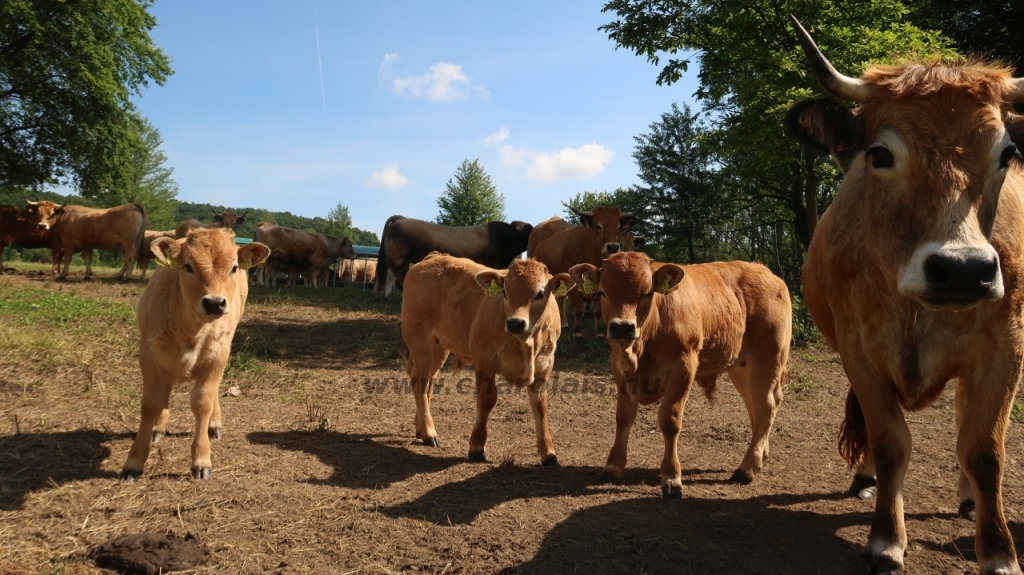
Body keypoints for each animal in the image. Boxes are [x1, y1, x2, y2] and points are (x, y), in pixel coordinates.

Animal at [119, 226, 270, 476]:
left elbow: (203, 401)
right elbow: (151, 404)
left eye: (234, 267)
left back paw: (214, 424)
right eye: (188, 266)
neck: (192, 331)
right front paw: (134, 461)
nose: (214, 303)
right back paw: (158, 427)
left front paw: (201, 459)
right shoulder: (148, 354)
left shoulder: (219, 355)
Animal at [401, 252, 577, 462]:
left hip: (439, 347)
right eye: (505, 292)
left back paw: (421, 427)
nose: (515, 323)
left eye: (541, 293)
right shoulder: (485, 360)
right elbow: (487, 400)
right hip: (420, 342)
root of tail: (434, 257)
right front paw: (477, 447)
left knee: (429, 381)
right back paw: (429, 432)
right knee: (419, 382)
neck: (526, 344)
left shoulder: (545, 364)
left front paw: (549, 453)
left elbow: (540, 406)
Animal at [532, 204, 634, 335]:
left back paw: (563, 323)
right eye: (598, 226)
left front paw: (598, 332)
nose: (613, 247)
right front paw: (577, 331)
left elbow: (598, 310)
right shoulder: (573, 285)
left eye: (619, 227)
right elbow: (578, 309)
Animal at [569, 250, 790, 497]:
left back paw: (747, 467)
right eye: (602, 292)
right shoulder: (619, 367)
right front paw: (612, 466)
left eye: (647, 293)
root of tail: (765, 271)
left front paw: (672, 477)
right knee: (754, 403)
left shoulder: (683, 367)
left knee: (766, 405)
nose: (622, 327)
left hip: (768, 357)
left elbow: (670, 420)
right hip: (741, 366)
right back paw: (760, 453)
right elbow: (623, 417)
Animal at [782, 15, 1024, 568]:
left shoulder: (1006, 348)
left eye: (1007, 154)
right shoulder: (860, 352)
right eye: (880, 154)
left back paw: (967, 500)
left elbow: (984, 449)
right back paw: (867, 480)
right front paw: (886, 542)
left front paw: (999, 553)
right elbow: (890, 442)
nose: (963, 270)